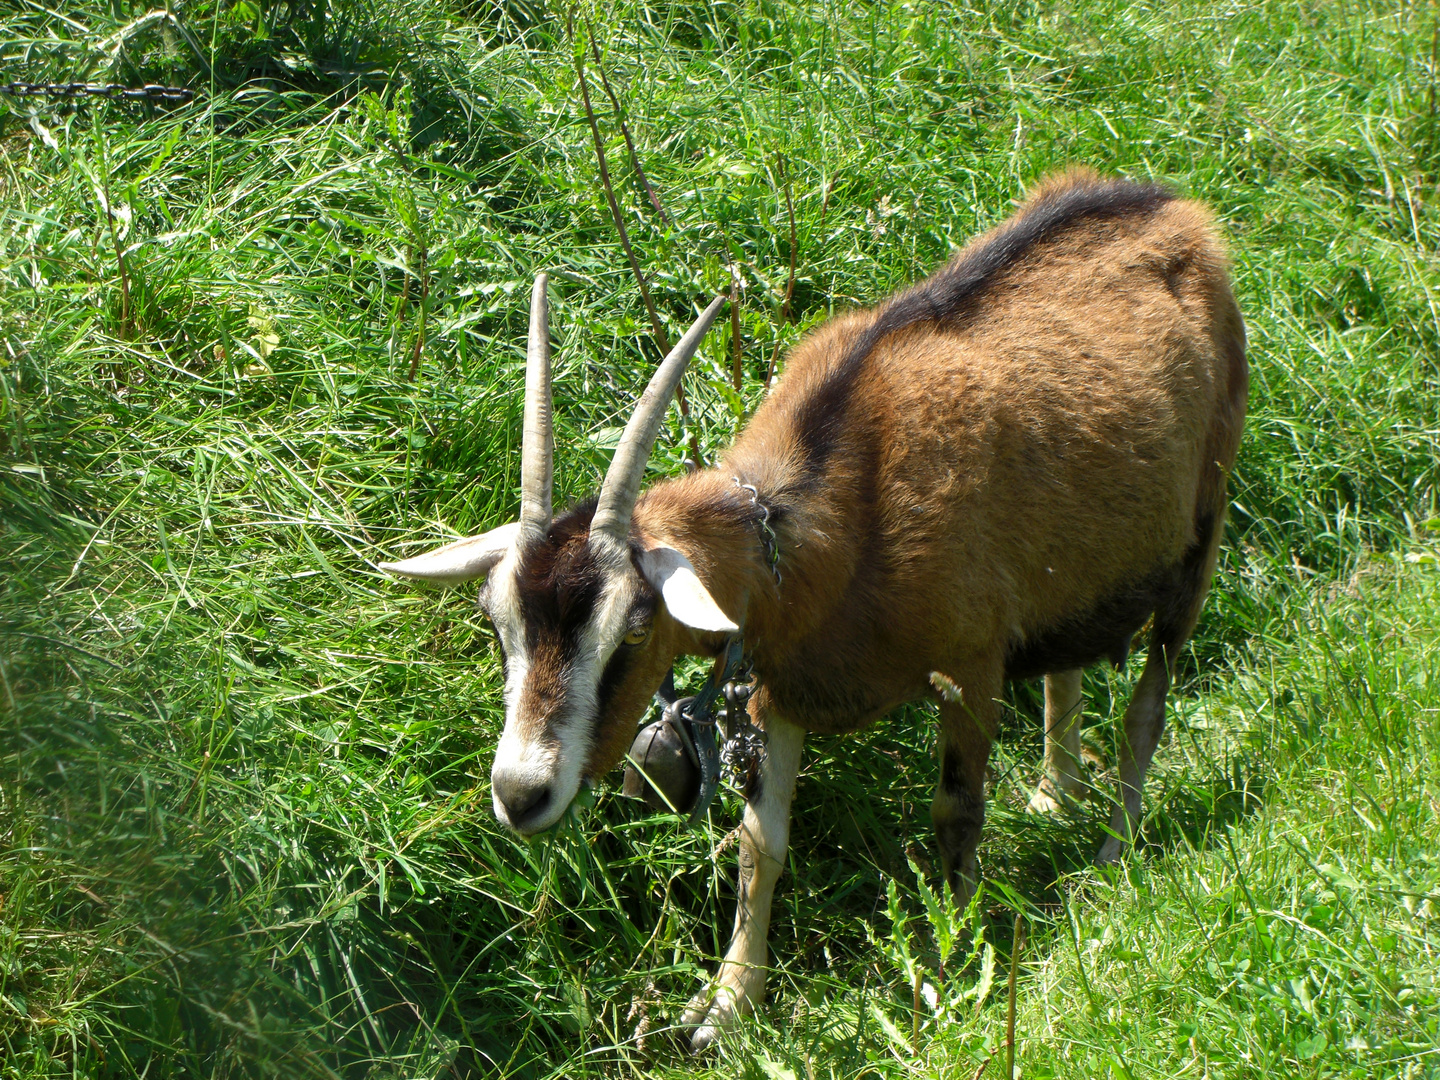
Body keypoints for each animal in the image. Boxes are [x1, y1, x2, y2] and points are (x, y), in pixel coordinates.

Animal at [383, 167, 1249, 1048]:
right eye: (500, 625)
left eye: (630, 630)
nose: (521, 794)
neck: (836, 517)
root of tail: (1175, 210)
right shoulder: (777, 692)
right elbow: (759, 844)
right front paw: (727, 1006)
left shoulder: (970, 666)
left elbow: (955, 813)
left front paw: (949, 966)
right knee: (1064, 668)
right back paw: (1053, 792)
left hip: (1202, 528)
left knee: (1150, 701)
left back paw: (1115, 848)